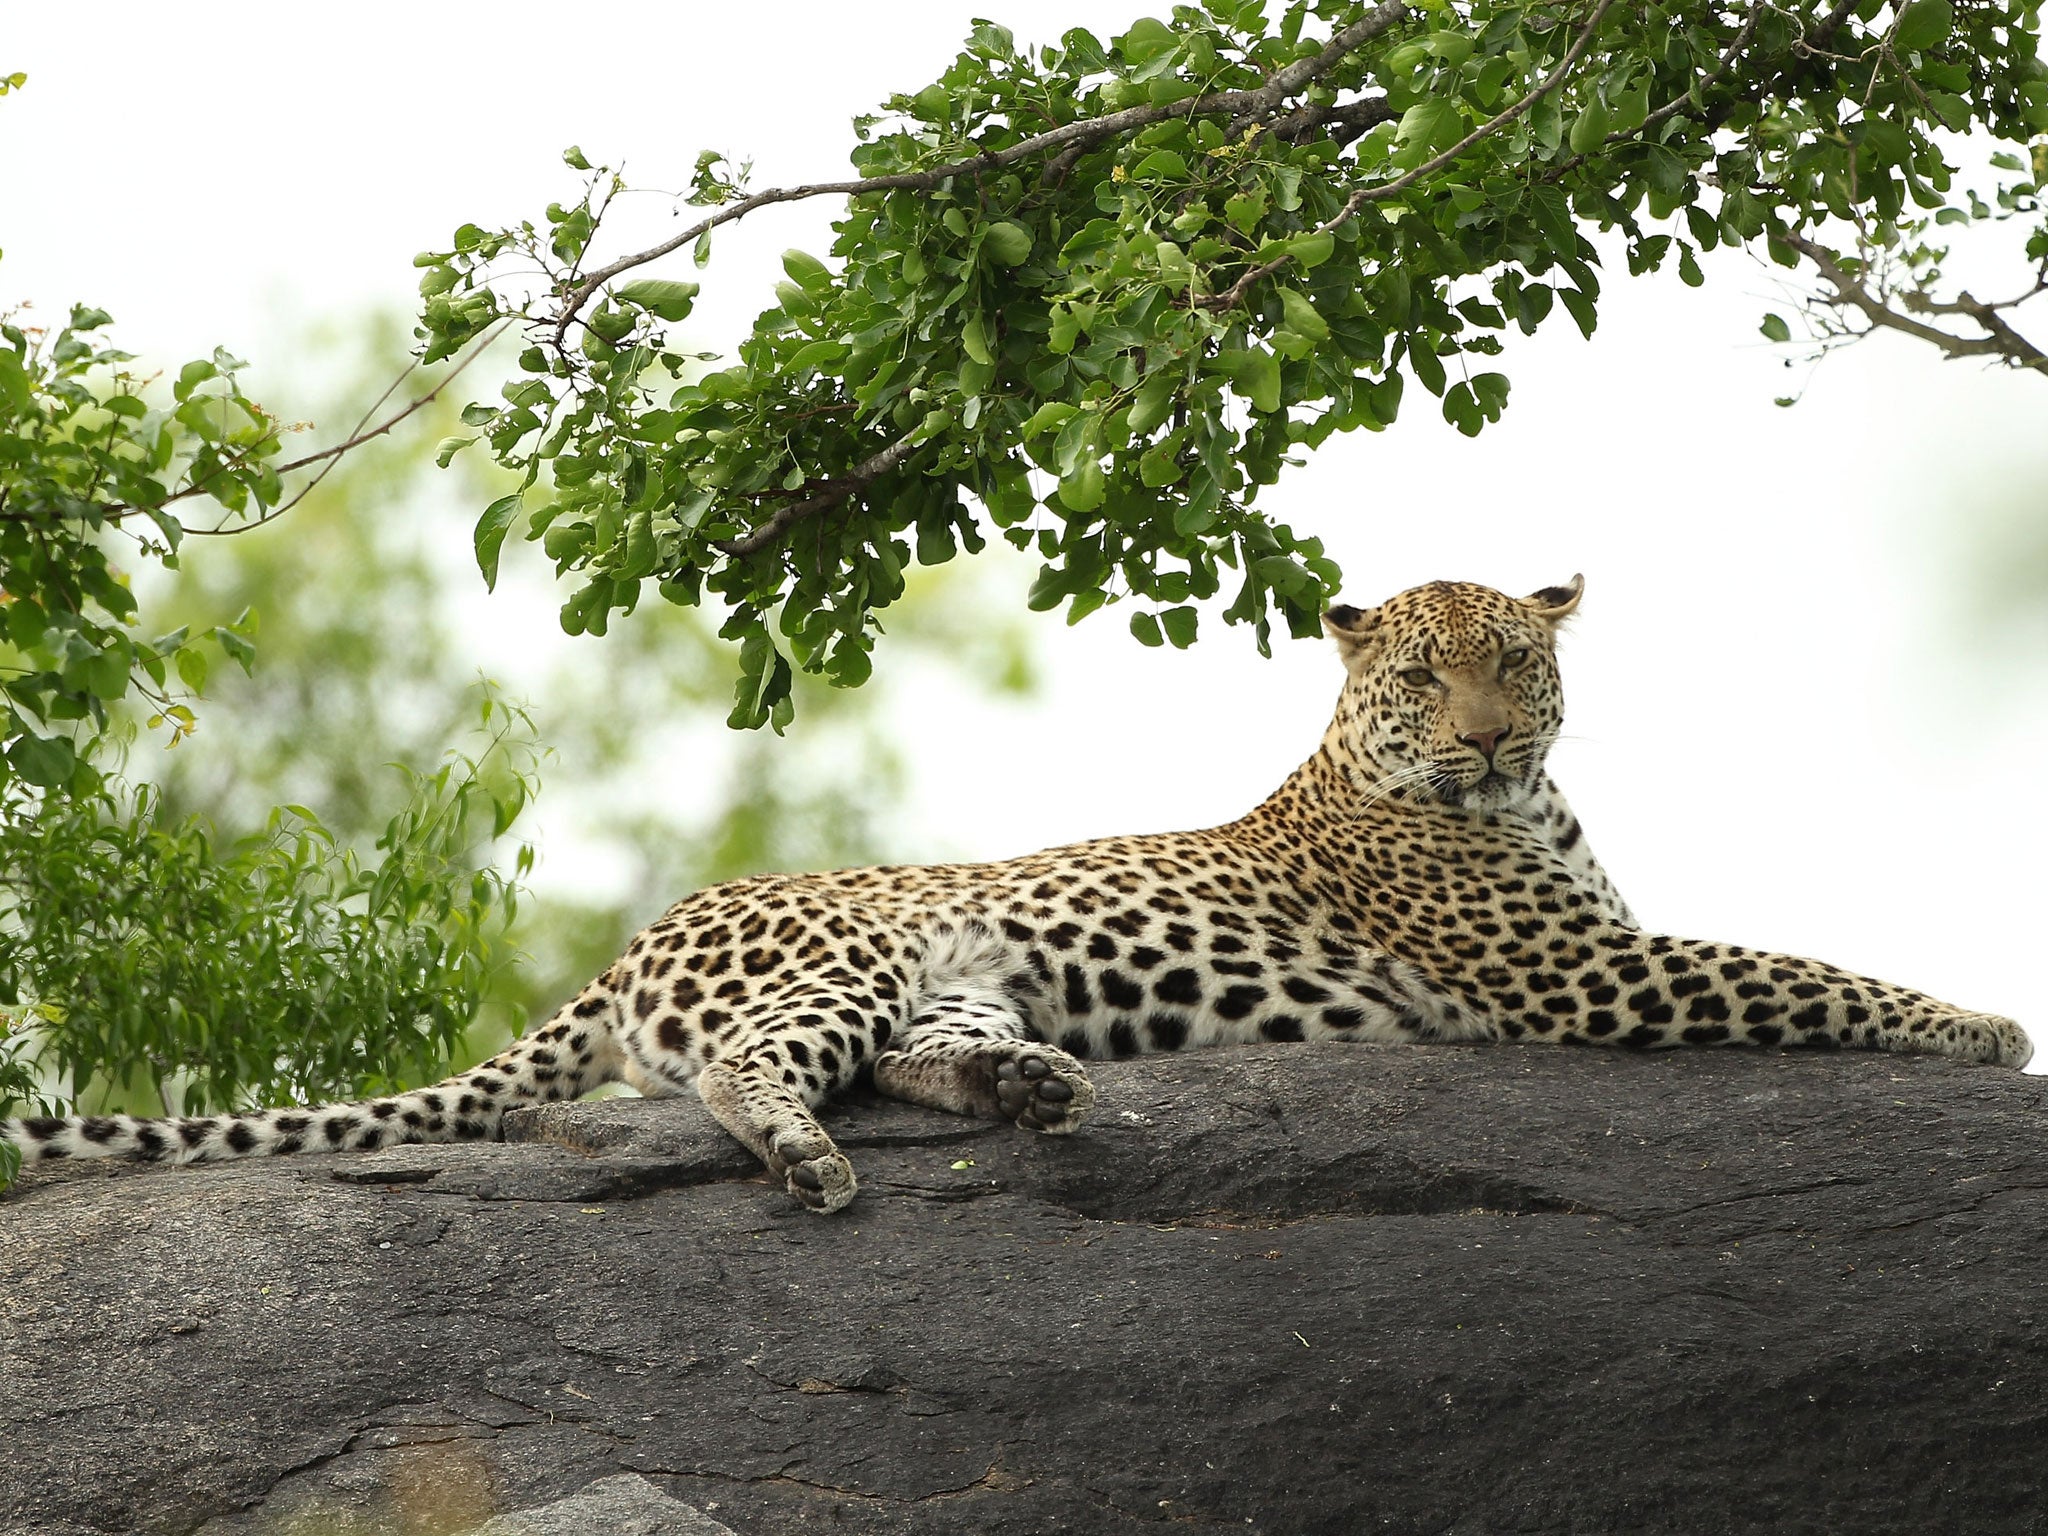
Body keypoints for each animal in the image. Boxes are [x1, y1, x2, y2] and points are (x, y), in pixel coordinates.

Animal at [0, 577, 2023, 1212]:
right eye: (1422, 675)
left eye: (1514, 668)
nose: (1484, 740)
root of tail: (645, 931)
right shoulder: (1578, 981)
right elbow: (1797, 966)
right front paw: (1981, 1021)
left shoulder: (1595, 954)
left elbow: (1780, 953)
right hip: (834, 962)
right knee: (743, 1073)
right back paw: (810, 1162)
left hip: (960, 975)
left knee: (913, 1060)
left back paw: (1033, 1090)